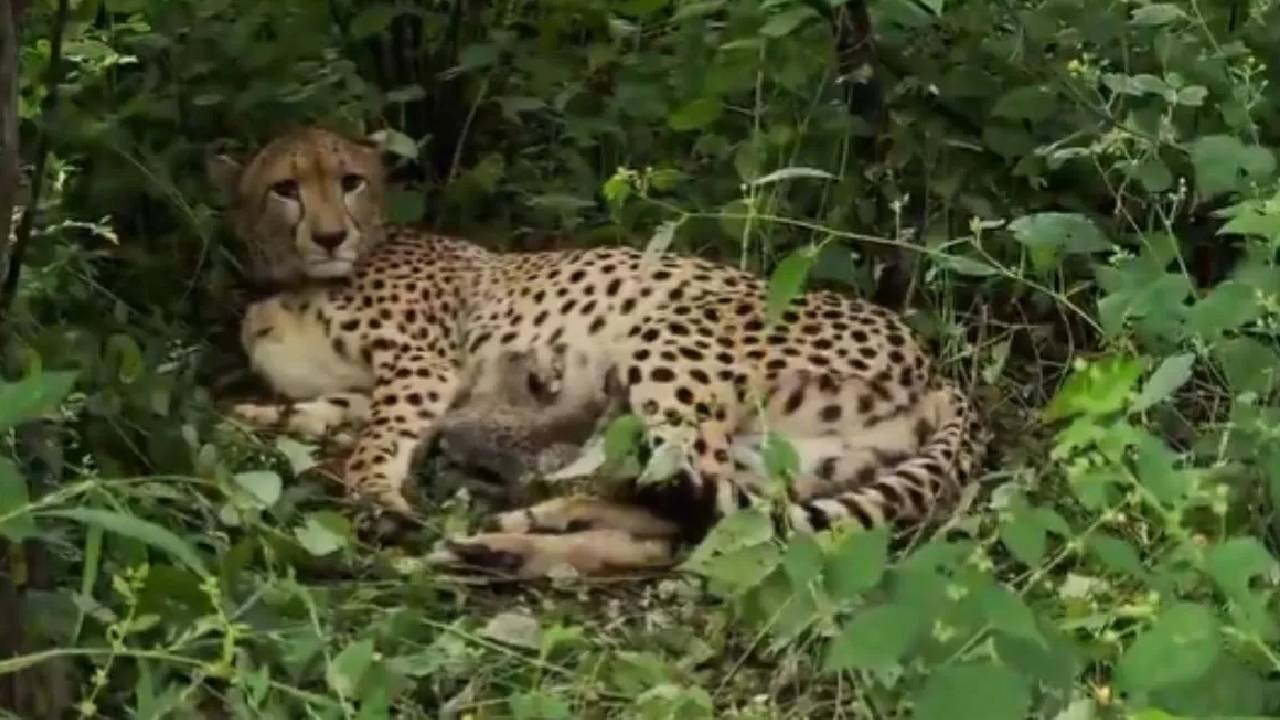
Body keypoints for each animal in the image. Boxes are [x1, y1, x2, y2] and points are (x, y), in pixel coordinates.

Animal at [213, 126, 989, 577]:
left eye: (349, 181)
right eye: (285, 188)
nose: (329, 235)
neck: (297, 282)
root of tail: (938, 368)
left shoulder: (422, 367)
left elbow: (377, 440)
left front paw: (375, 495)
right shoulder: (369, 387)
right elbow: (313, 413)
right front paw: (246, 421)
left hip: (668, 346)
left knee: (705, 508)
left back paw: (519, 527)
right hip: (783, 451)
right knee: (689, 522)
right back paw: (509, 542)